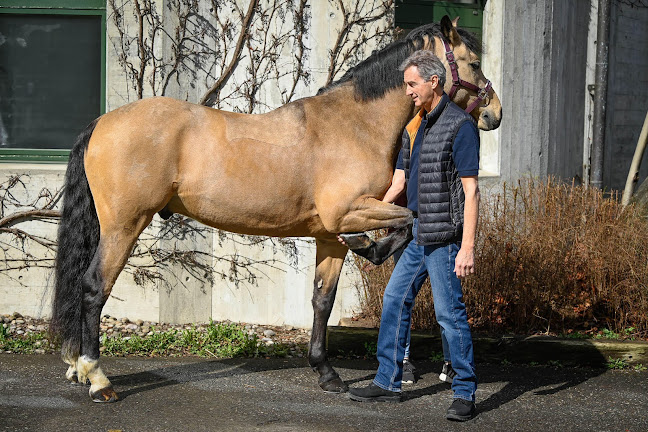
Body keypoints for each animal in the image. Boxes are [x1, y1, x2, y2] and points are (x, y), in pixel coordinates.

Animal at [53, 16, 504, 402]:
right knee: (94, 286)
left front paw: (326, 373)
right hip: (124, 226)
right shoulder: (347, 213)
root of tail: (101, 124)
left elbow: (323, 300)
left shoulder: (328, 235)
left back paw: (77, 367)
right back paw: (98, 378)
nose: (494, 113)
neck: (354, 125)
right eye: (474, 62)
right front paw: (372, 249)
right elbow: (408, 221)